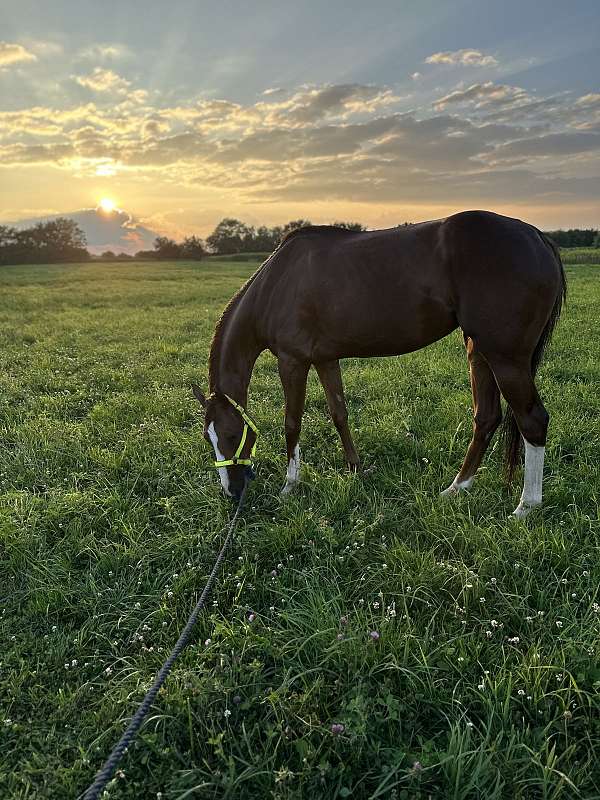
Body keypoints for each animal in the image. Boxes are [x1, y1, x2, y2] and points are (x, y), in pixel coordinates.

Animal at [193, 209, 568, 516]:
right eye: (207, 439)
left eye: (230, 434)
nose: (232, 491)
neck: (276, 284)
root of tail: (536, 236)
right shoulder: (326, 359)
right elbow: (339, 414)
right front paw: (356, 470)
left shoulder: (292, 361)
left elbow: (292, 424)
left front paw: (290, 486)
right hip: (479, 351)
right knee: (486, 418)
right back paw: (456, 489)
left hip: (506, 358)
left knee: (533, 420)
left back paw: (525, 507)